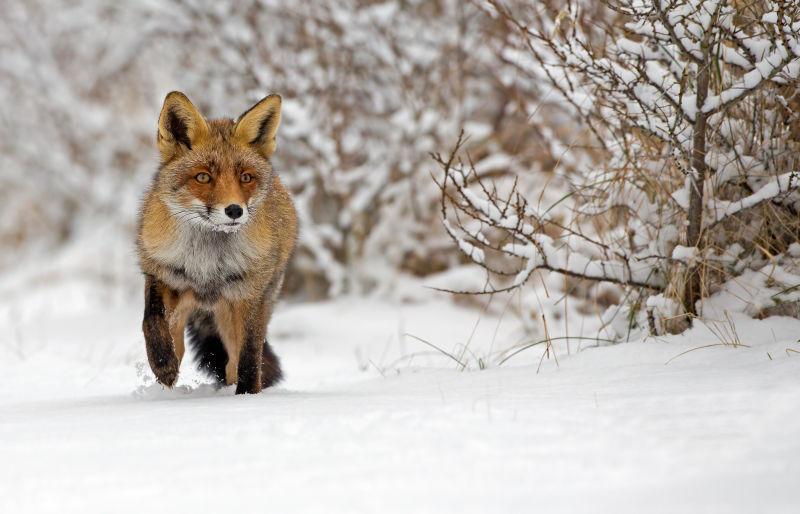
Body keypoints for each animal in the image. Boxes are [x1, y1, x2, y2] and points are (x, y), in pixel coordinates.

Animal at [136, 91, 298, 392]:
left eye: (246, 177)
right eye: (203, 177)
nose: (234, 210)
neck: (208, 264)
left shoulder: (249, 295)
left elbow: (249, 358)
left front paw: (247, 395)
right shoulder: (163, 275)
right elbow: (150, 320)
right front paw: (162, 363)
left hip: (238, 311)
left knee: (233, 361)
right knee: (179, 344)